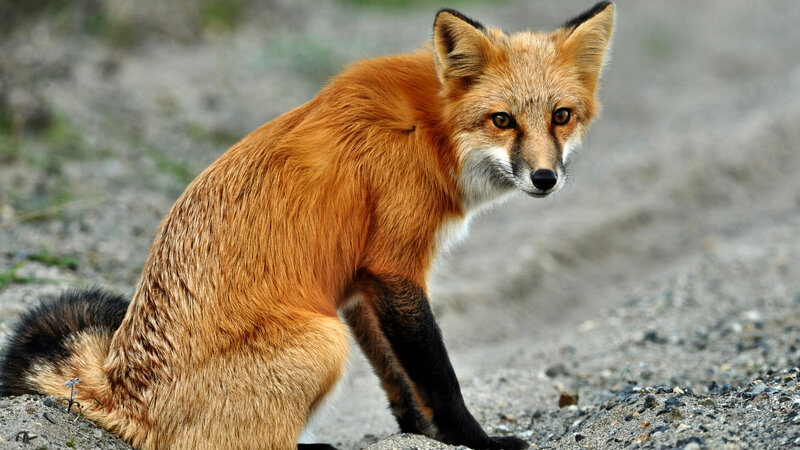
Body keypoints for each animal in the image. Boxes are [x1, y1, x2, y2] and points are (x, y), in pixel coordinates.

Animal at [0, 3, 614, 449]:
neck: (429, 130)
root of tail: (122, 394)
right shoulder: (394, 269)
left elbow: (398, 380)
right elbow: (439, 377)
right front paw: (478, 443)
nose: (544, 178)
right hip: (323, 341)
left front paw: (421, 437)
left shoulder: (362, 284)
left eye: (561, 116)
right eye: (502, 120)